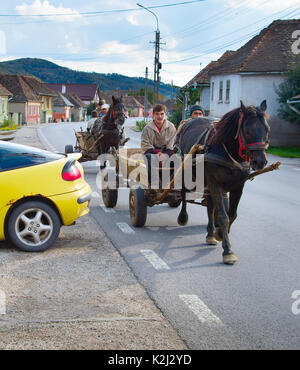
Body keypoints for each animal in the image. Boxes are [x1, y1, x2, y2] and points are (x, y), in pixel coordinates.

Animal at [176, 99, 270, 264]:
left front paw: (219, 233)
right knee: (184, 193)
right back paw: (183, 217)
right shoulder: (214, 182)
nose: (260, 161)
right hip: (187, 170)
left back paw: (210, 234)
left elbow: (231, 214)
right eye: (247, 131)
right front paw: (228, 251)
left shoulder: (238, 185)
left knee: (210, 205)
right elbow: (222, 216)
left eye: (267, 129)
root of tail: (191, 120)